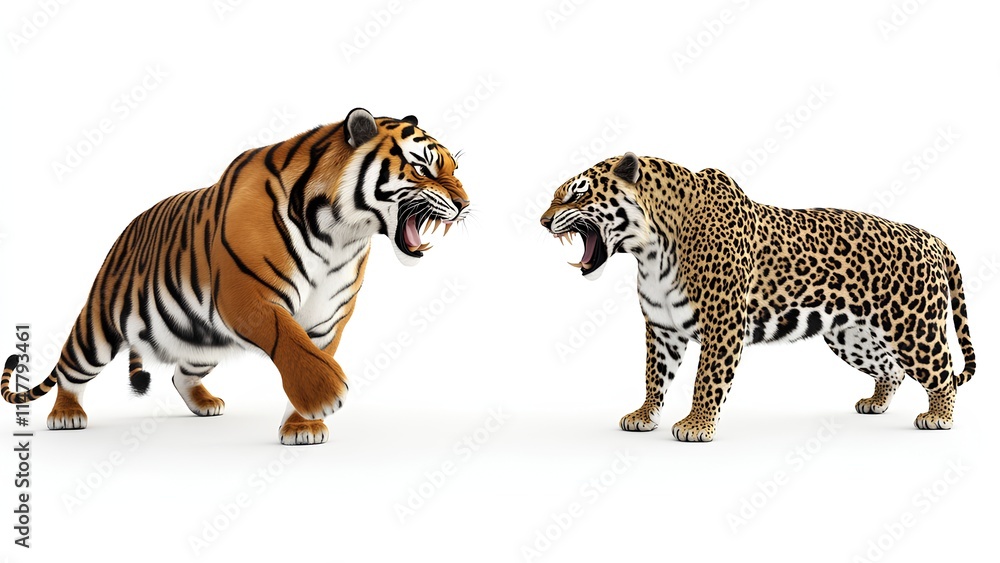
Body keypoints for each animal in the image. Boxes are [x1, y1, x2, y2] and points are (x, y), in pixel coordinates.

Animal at [1, 108, 470, 445]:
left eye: (454, 169)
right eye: (424, 169)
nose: (466, 205)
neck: (342, 235)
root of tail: (128, 228)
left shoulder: (328, 317)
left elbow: (313, 351)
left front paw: (303, 425)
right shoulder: (247, 296)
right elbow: (290, 342)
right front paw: (324, 396)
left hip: (201, 339)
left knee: (180, 374)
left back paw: (205, 403)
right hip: (97, 330)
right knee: (70, 369)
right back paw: (66, 415)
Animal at [540, 153, 976, 441]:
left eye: (576, 196)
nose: (543, 221)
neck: (650, 249)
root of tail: (928, 235)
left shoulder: (723, 323)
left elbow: (706, 378)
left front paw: (696, 425)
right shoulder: (662, 328)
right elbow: (654, 374)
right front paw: (645, 416)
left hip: (913, 327)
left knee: (942, 372)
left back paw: (938, 417)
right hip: (851, 337)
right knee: (892, 369)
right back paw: (876, 403)